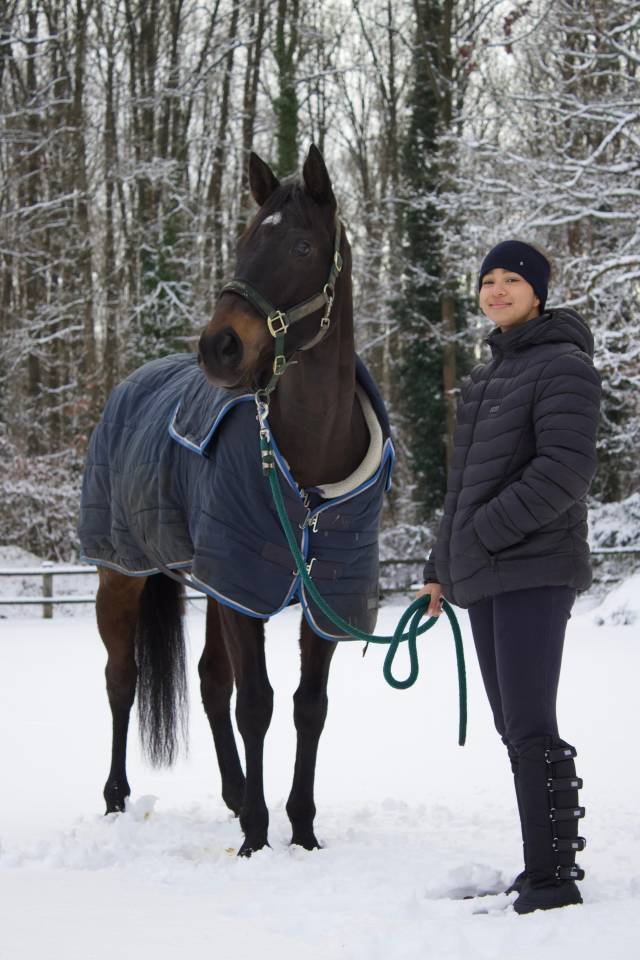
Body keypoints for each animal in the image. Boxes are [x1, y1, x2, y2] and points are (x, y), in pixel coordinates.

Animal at [79, 145, 394, 856]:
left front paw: (301, 828)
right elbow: (257, 703)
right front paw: (257, 836)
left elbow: (308, 707)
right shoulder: (242, 590)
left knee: (206, 680)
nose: (219, 346)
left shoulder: (311, 597)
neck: (308, 466)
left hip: (211, 588)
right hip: (123, 576)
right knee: (121, 681)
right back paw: (115, 799)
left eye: (302, 245)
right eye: (245, 239)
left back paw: (231, 793)